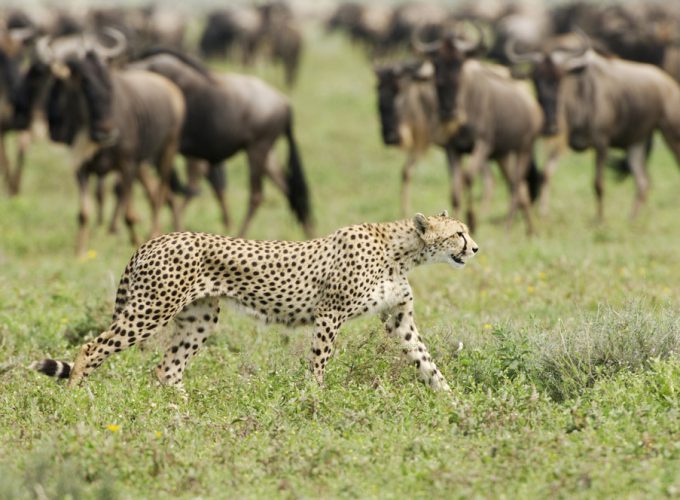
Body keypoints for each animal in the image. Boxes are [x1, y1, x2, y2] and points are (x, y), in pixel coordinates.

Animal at [31, 211, 478, 390]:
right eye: (458, 233)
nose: (475, 248)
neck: (402, 251)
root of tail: (156, 238)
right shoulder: (329, 314)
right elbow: (318, 365)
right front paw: (315, 401)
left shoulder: (397, 318)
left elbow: (427, 361)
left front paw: (452, 401)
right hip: (151, 309)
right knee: (91, 347)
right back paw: (77, 399)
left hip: (199, 318)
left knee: (166, 369)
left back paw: (183, 415)